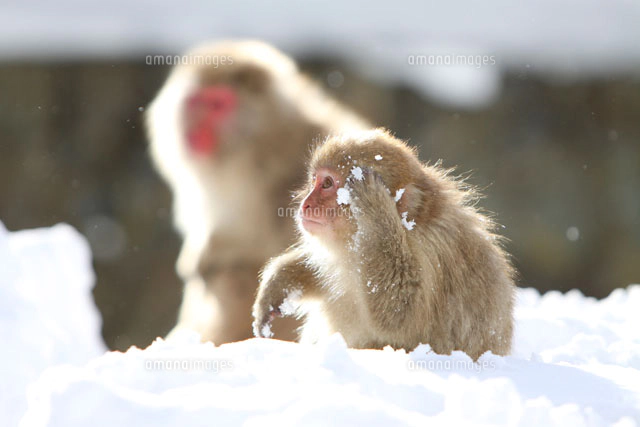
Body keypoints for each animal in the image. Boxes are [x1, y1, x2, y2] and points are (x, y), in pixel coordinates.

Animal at [252, 128, 515, 359]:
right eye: (315, 180)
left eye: (327, 184)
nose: (305, 204)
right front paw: (280, 281)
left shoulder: (435, 254)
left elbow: (400, 316)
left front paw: (375, 207)